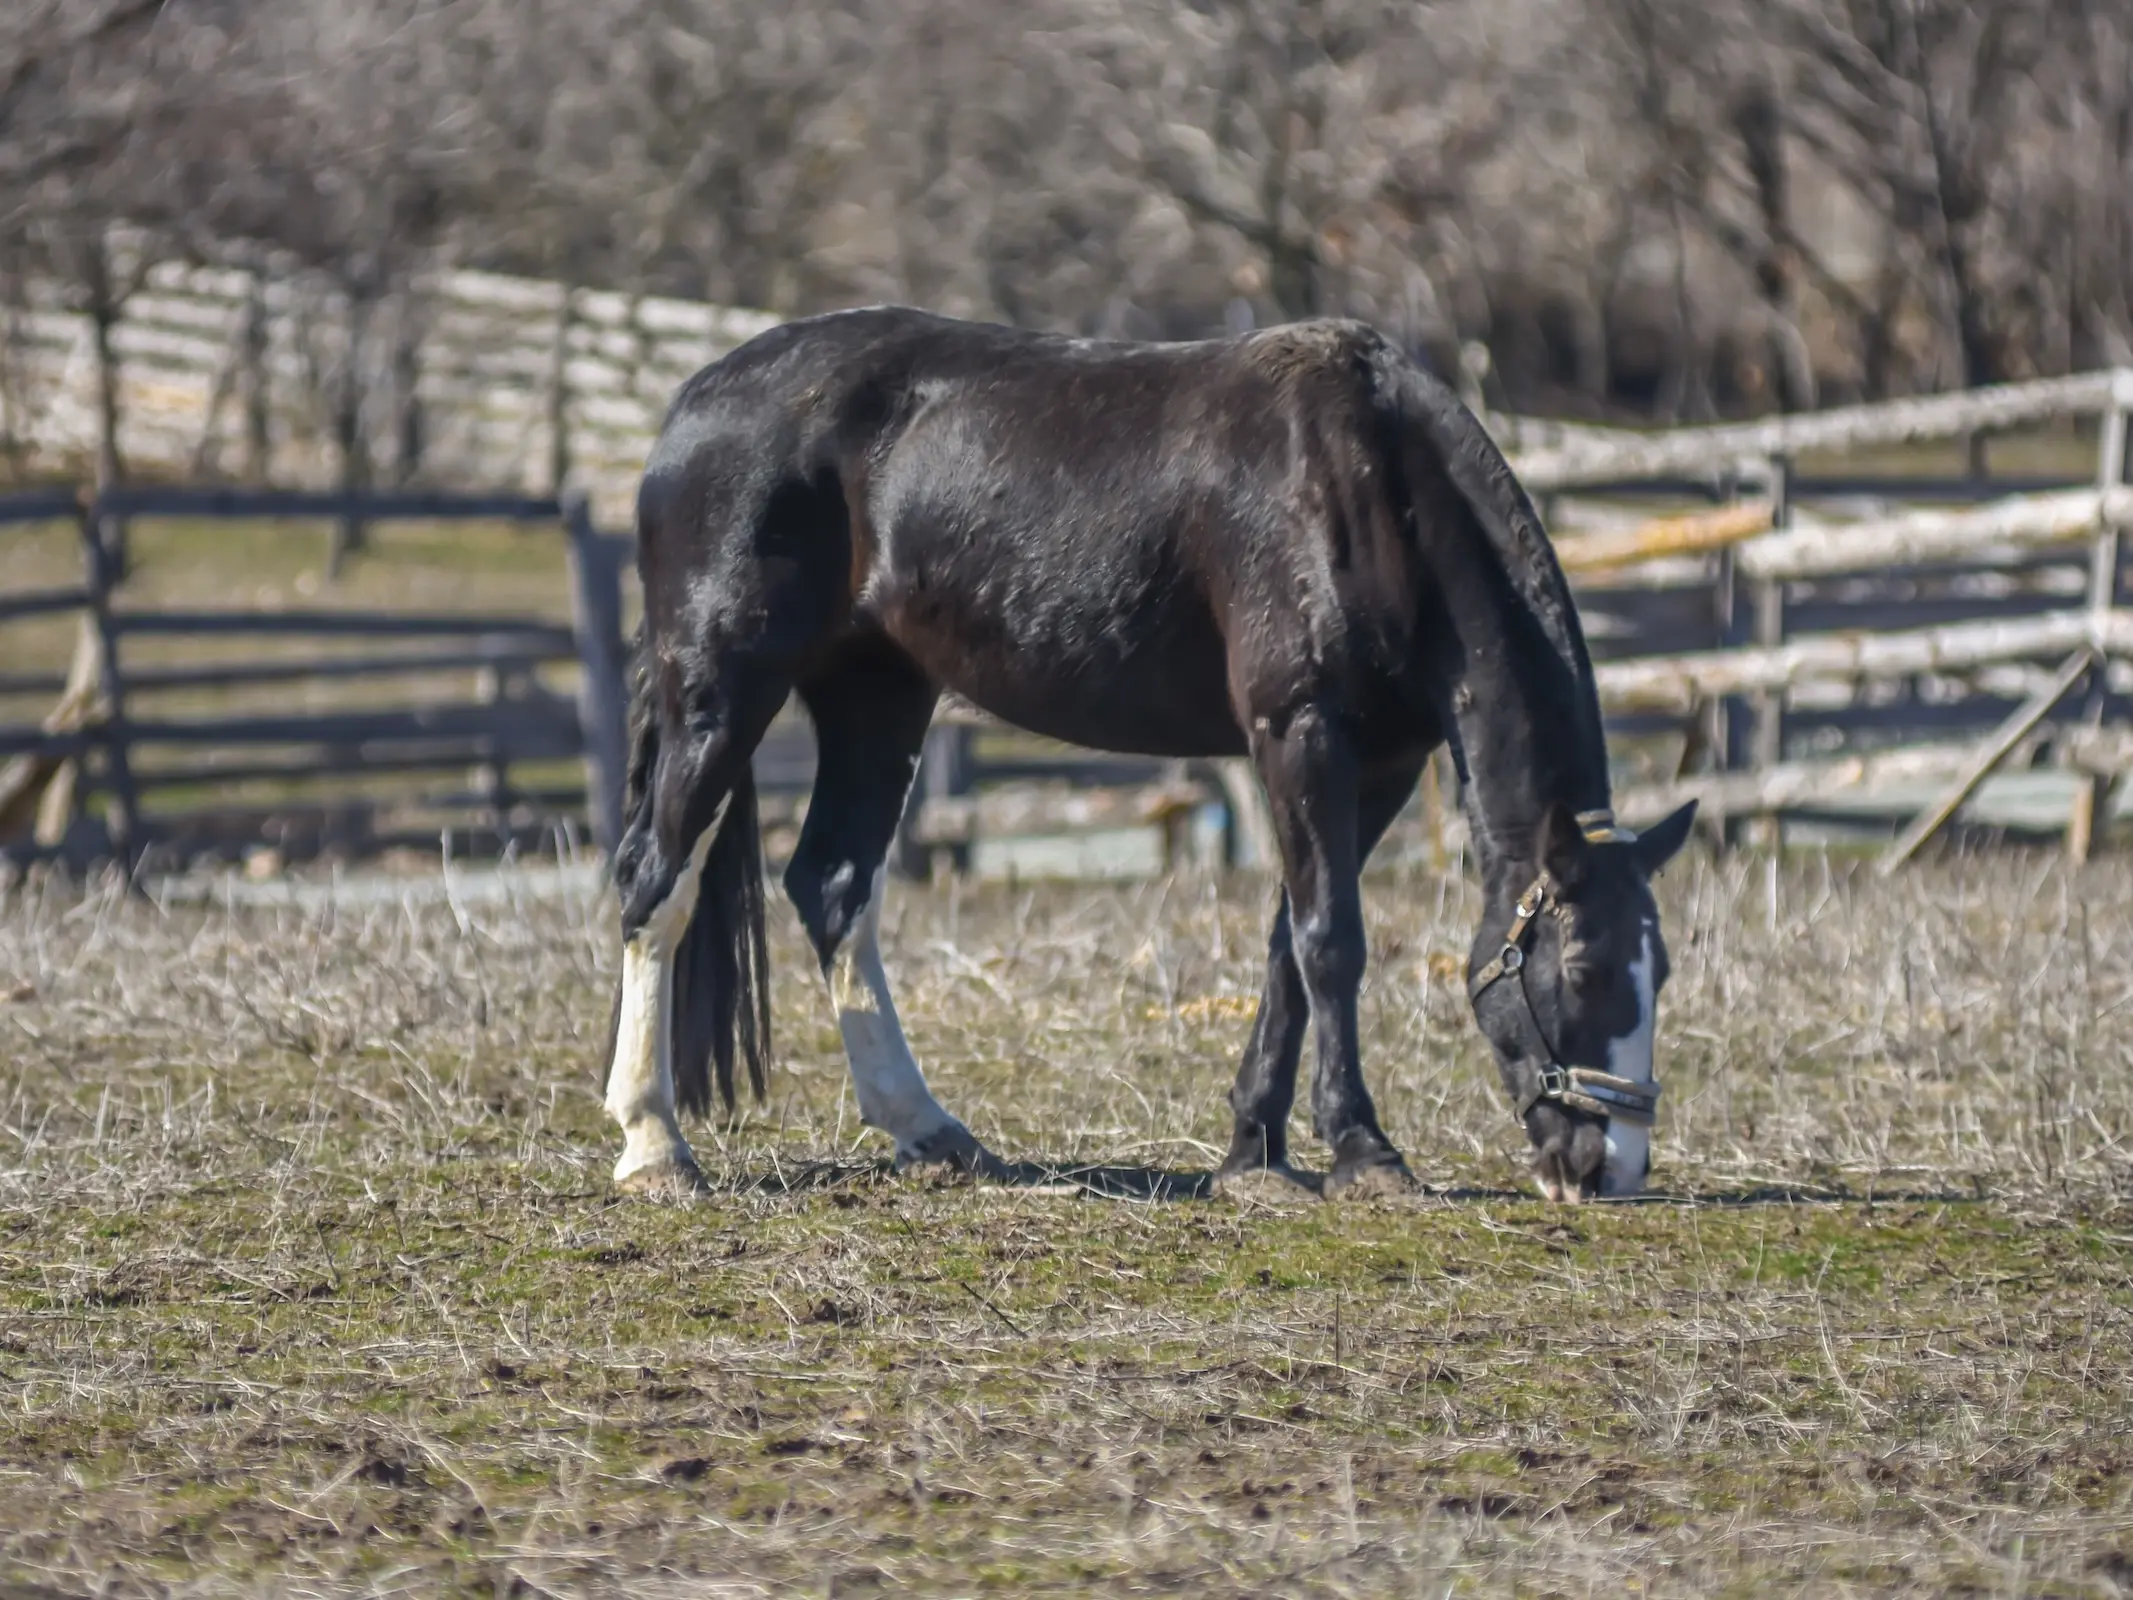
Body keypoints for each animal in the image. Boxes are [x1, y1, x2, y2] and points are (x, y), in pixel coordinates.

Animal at [603, 307, 1696, 1205]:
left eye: (1663, 968)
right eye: (1586, 967)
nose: (1611, 1167)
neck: (1368, 489)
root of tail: (693, 403)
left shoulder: (1379, 763)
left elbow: (1287, 946)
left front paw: (1254, 1153)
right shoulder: (1300, 732)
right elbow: (1331, 941)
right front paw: (1362, 1152)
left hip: (878, 694)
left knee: (832, 884)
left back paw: (930, 1131)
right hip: (720, 689)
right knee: (656, 882)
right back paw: (656, 1146)